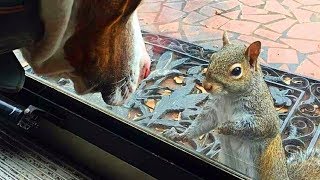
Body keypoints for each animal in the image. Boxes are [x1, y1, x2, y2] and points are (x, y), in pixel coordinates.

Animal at [162, 32, 320, 180]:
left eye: (236, 71)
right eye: (212, 57)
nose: (206, 86)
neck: (228, 97)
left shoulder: (263, 114)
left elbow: (257, 127)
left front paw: (224, 127)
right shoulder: (213, 110)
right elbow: (201, 124)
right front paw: (180, 135)